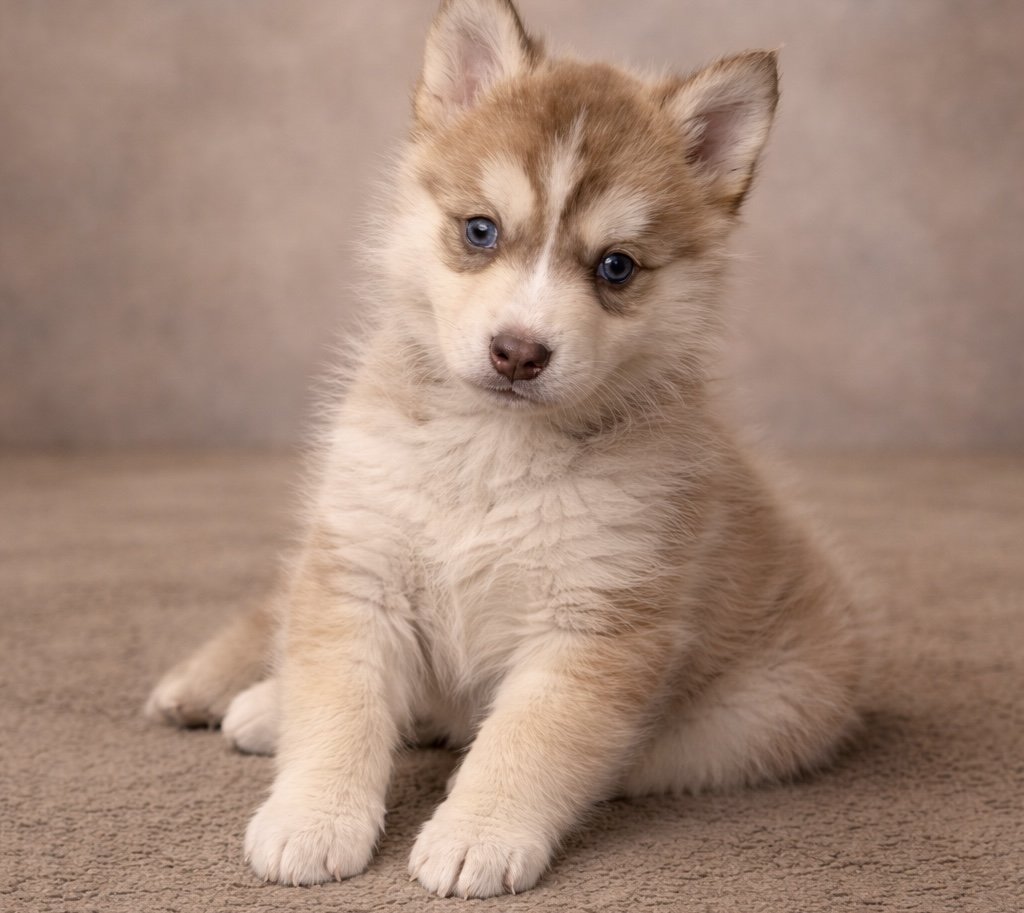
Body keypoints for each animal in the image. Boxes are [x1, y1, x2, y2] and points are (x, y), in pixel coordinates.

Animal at [147, 0, 865, 898]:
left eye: (616, 267)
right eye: (480, 230)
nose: (520, 351)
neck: (489, 453)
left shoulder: (593, 623)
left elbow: (525, 741)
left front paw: (476, 833)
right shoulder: (359, 567)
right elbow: (341, 704)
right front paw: (312, 816)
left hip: (768, 715)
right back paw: (257, 699)